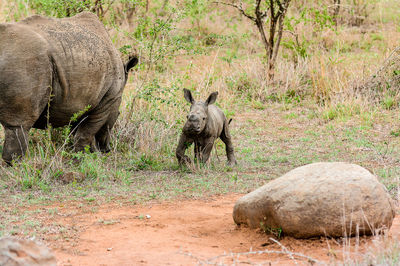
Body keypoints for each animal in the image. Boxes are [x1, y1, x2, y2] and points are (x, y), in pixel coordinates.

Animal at [0, 11, 138, 164]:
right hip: (25, 61)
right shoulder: (108, 99)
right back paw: (17, 165)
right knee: (19, 126)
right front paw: (81, 158)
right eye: (118, 114)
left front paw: (85, 154)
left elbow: (78, 130)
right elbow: (86, 132)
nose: (107, 149)